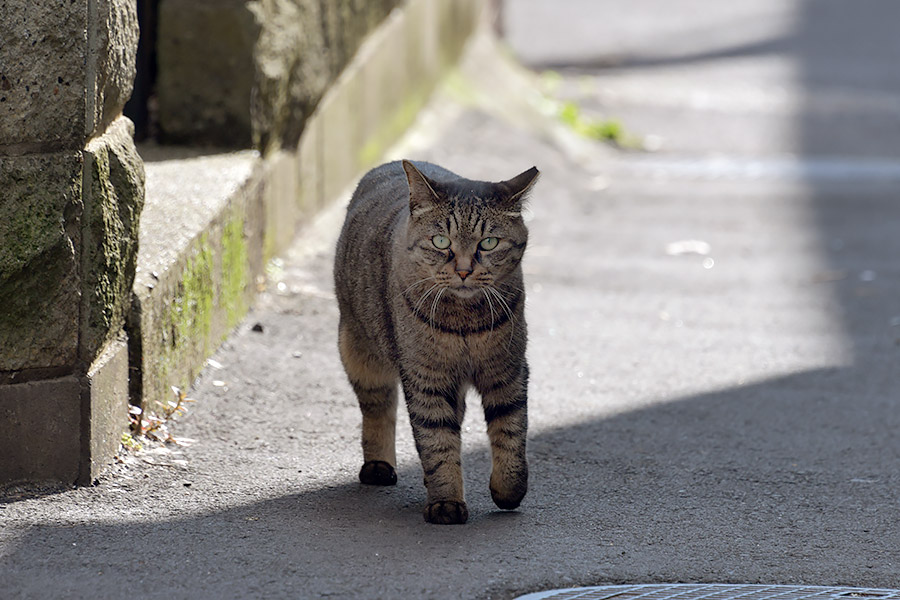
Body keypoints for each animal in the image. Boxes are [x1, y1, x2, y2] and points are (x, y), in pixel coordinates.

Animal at [334, 161, 536, 524]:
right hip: (361, 354)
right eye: (441, 241)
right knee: (378, 409)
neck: (465, 321)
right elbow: (437, 440)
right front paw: (446, 501)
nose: (464, 270)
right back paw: (378, 466)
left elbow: (510, 432)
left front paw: (508, 490)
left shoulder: (508, 372)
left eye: (489, 243)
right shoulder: (426, 378)